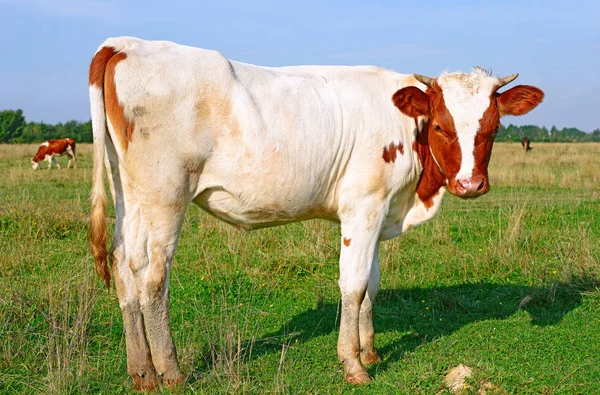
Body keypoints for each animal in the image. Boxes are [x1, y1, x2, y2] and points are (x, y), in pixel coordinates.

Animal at [88, 37, 544, 392]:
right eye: (440, 127)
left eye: (493, 127)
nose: (470, 184)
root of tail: (125, 44)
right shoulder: (363, 206)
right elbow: (353, 284)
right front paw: (353, 365)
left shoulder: (379, 210)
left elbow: (372, 284)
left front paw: (370, 350)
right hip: (165, 195)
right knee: (153, 276)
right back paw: (171, 371)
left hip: (129, 194)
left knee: (125, 265)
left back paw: (142, 371)